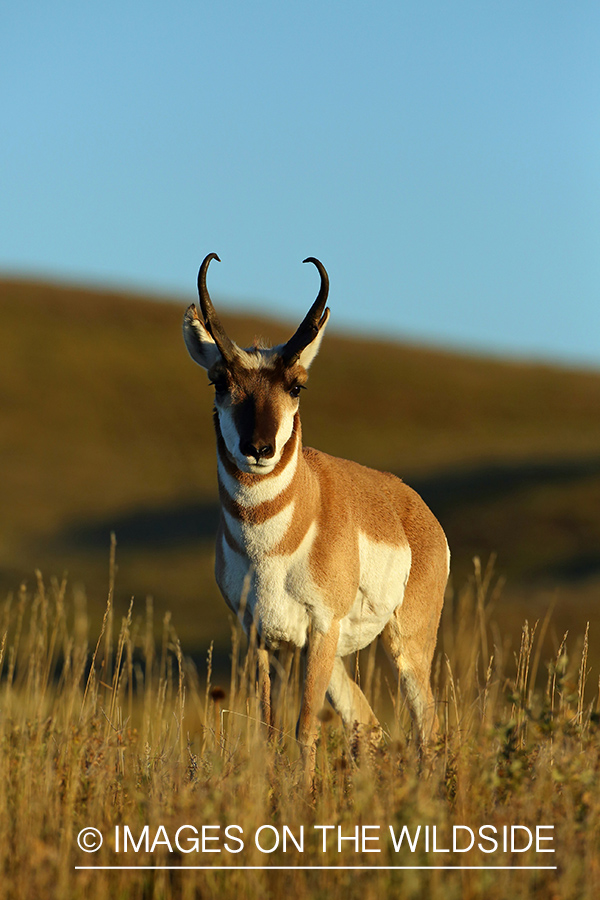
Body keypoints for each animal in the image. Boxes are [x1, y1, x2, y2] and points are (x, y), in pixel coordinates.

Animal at [184, 253, 450, 768]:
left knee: (428, 726)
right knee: (368, 724)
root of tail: (411, 504)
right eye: (219, 380)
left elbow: (304, 731)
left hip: (403, 645)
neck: (270, 548)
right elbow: (267, 733)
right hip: (336, 659)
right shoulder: (260, 639)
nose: (259, 448)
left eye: (296, 386)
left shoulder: (321, 630)